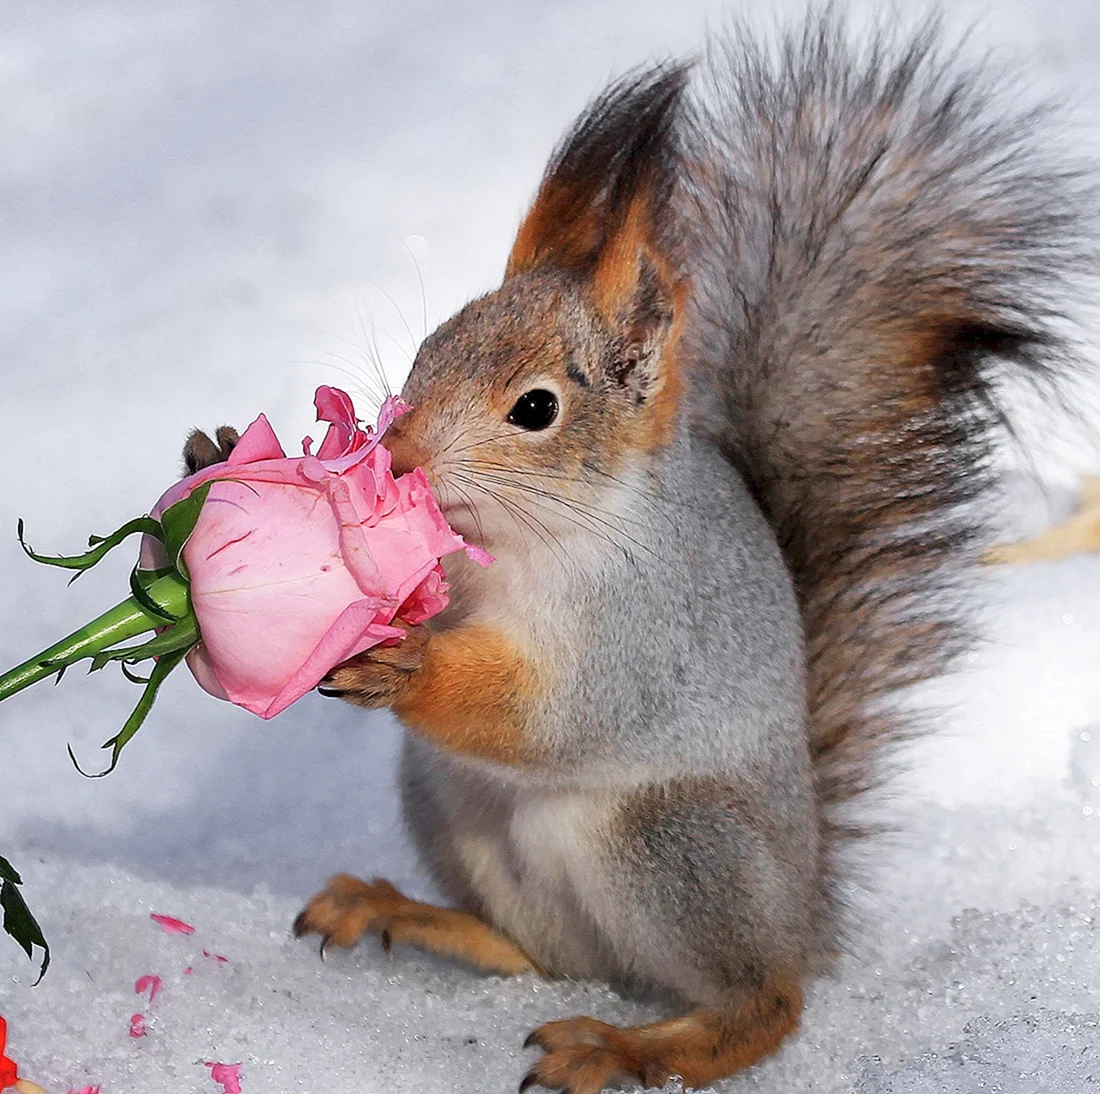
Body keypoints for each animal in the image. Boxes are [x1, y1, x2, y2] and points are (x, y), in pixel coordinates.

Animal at [186, 14, 1091, 1094]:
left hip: (674, 846)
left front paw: (408, 662)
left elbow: (554, 713)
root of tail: (805, 915)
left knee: (761, 1004)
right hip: (453, 805)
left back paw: (624, 1043)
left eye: (536, 409)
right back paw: (408, 912)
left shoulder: (649, 625)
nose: (397, 455)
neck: (525, 540)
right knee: (537, 956)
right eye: (427, 351)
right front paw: (220, 463)